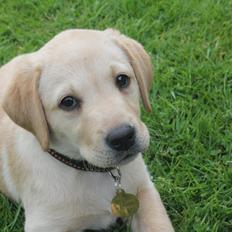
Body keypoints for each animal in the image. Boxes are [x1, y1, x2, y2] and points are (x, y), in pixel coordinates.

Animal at [0, 29, 174, 232]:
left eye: (122, 79)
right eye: (68, 102)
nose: (123, 137)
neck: (90, 171)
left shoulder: (144, 190)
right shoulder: (44, 224)